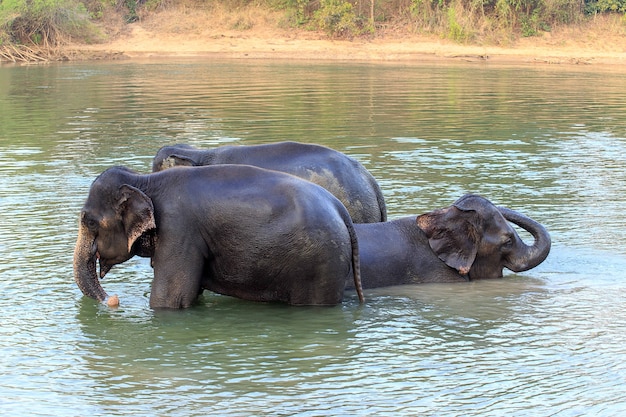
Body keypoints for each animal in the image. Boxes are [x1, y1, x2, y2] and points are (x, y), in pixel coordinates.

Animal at [72, 164, 366, 308]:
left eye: (89, 220)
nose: (114, 300)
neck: (145, 180)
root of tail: (341, 211)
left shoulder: (180, 230)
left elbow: (171, 298)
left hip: (319, 265)